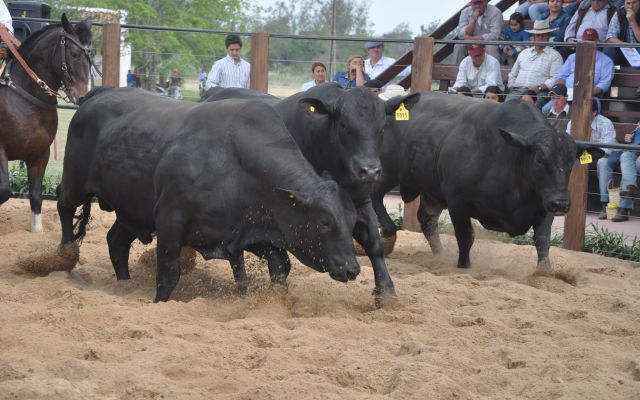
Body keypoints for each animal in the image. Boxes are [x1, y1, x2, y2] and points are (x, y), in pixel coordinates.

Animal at [0, 14, 93, 232]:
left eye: (90, 56)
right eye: (74, 54)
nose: (84, 95)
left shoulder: (40, 154)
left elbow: (35, 195)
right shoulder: (0, 150)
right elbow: (4, 191)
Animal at [57, 87, 360, 302]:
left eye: (351, 220)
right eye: (325, 221)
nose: (352, 269)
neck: (235, 161)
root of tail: (97, 95)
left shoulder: (253, 232)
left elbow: (280, 268)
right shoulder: (170, 220)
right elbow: (168, 275)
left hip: (132, 210)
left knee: (116, 241)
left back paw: (124, 283)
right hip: (76, 183)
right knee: (64, 207)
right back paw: (64, 253)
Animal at [204, 83, 420, 306]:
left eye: (382, 128)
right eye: (344, 125)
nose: (369, 171)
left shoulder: (360, 203)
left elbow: (374, 244)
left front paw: (386, 292)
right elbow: (278, 258)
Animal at [371, 93, 597, 270]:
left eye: (571, 161)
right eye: (540, 159)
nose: (561, 203)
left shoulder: (543, 205)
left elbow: (542, 242)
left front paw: (545, 274)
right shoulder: (458, 202)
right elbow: (465, 237)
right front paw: (464, 266)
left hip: (431, 191)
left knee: (426, 220)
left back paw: (439, 256)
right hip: (386, 173)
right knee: (376, 198)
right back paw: (389, 236)